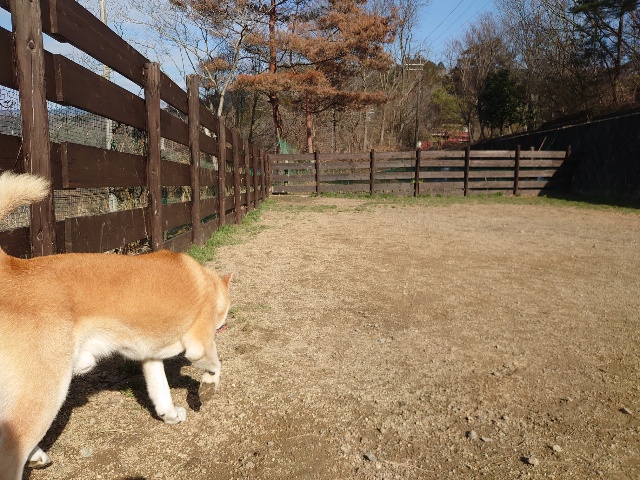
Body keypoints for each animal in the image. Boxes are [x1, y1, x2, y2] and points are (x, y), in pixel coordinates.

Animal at [0, 171, 231, 480]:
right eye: (223, 314)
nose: (223, 325)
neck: (207, 283)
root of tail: (12, 267)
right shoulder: (198, 345)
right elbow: (215, 365)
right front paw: (206, 389)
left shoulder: (150, 358)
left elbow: (161, 393)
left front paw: (170, 416)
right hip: (45, 389)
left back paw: (37, 456)